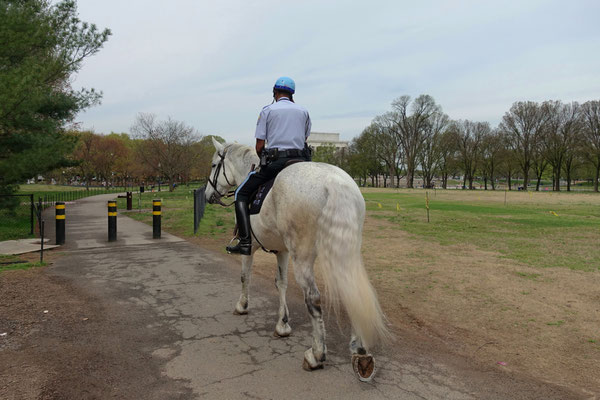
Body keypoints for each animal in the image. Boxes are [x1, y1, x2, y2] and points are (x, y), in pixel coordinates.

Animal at [204, 140, 390, 382]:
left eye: (214, 165)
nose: (208, 194)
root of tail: (334, 183)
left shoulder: (251, 248)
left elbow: (245, 276)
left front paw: (242, 306)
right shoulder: (282, 251)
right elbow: (281, 283)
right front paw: (282, 323)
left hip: (303, 258)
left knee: (314, 298)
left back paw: (316, 355)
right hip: (345, 253)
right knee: (353, 291)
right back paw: (360, 351)